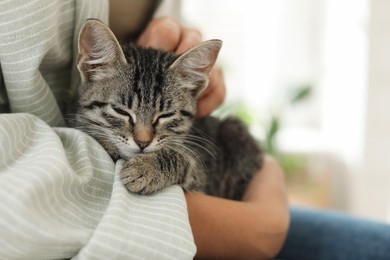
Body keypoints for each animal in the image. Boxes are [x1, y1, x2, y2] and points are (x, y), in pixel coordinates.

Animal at [74, 19, 262, 199]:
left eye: (166, 115)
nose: (143, 143)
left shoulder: (200, 180)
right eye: (120, 111)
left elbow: (186, 161)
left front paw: (147, 167)